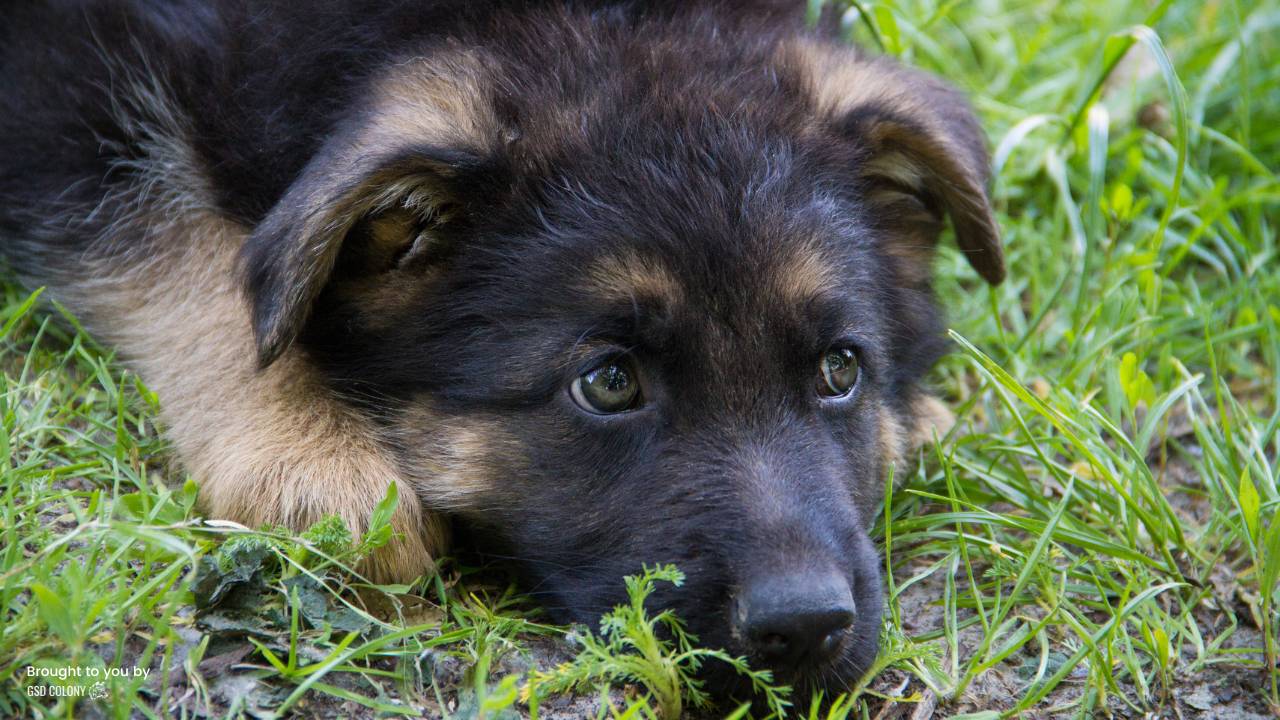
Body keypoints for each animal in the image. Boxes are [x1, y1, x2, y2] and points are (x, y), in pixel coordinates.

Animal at [0, 0, 998, 696]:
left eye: (841, 370)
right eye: (608, 382)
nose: (806, 627)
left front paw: (922, 411)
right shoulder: (65, 91)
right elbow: (196, 257)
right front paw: (306, 454)